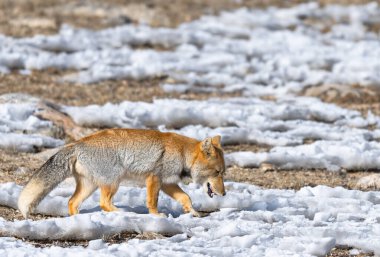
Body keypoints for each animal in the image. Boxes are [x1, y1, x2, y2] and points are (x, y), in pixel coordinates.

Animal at [17, 129, 226, 217]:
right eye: (217, 172)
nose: (224, 194)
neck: (182, 153)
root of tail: (76, 144)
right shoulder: (155, 178)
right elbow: (152, 202)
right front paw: (156, 216)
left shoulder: (168, 182)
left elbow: (186, 198)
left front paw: (194, 213)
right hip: (113, 182)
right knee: (104, 203)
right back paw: (124, 213)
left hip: (90, 186)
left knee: (72, 202)